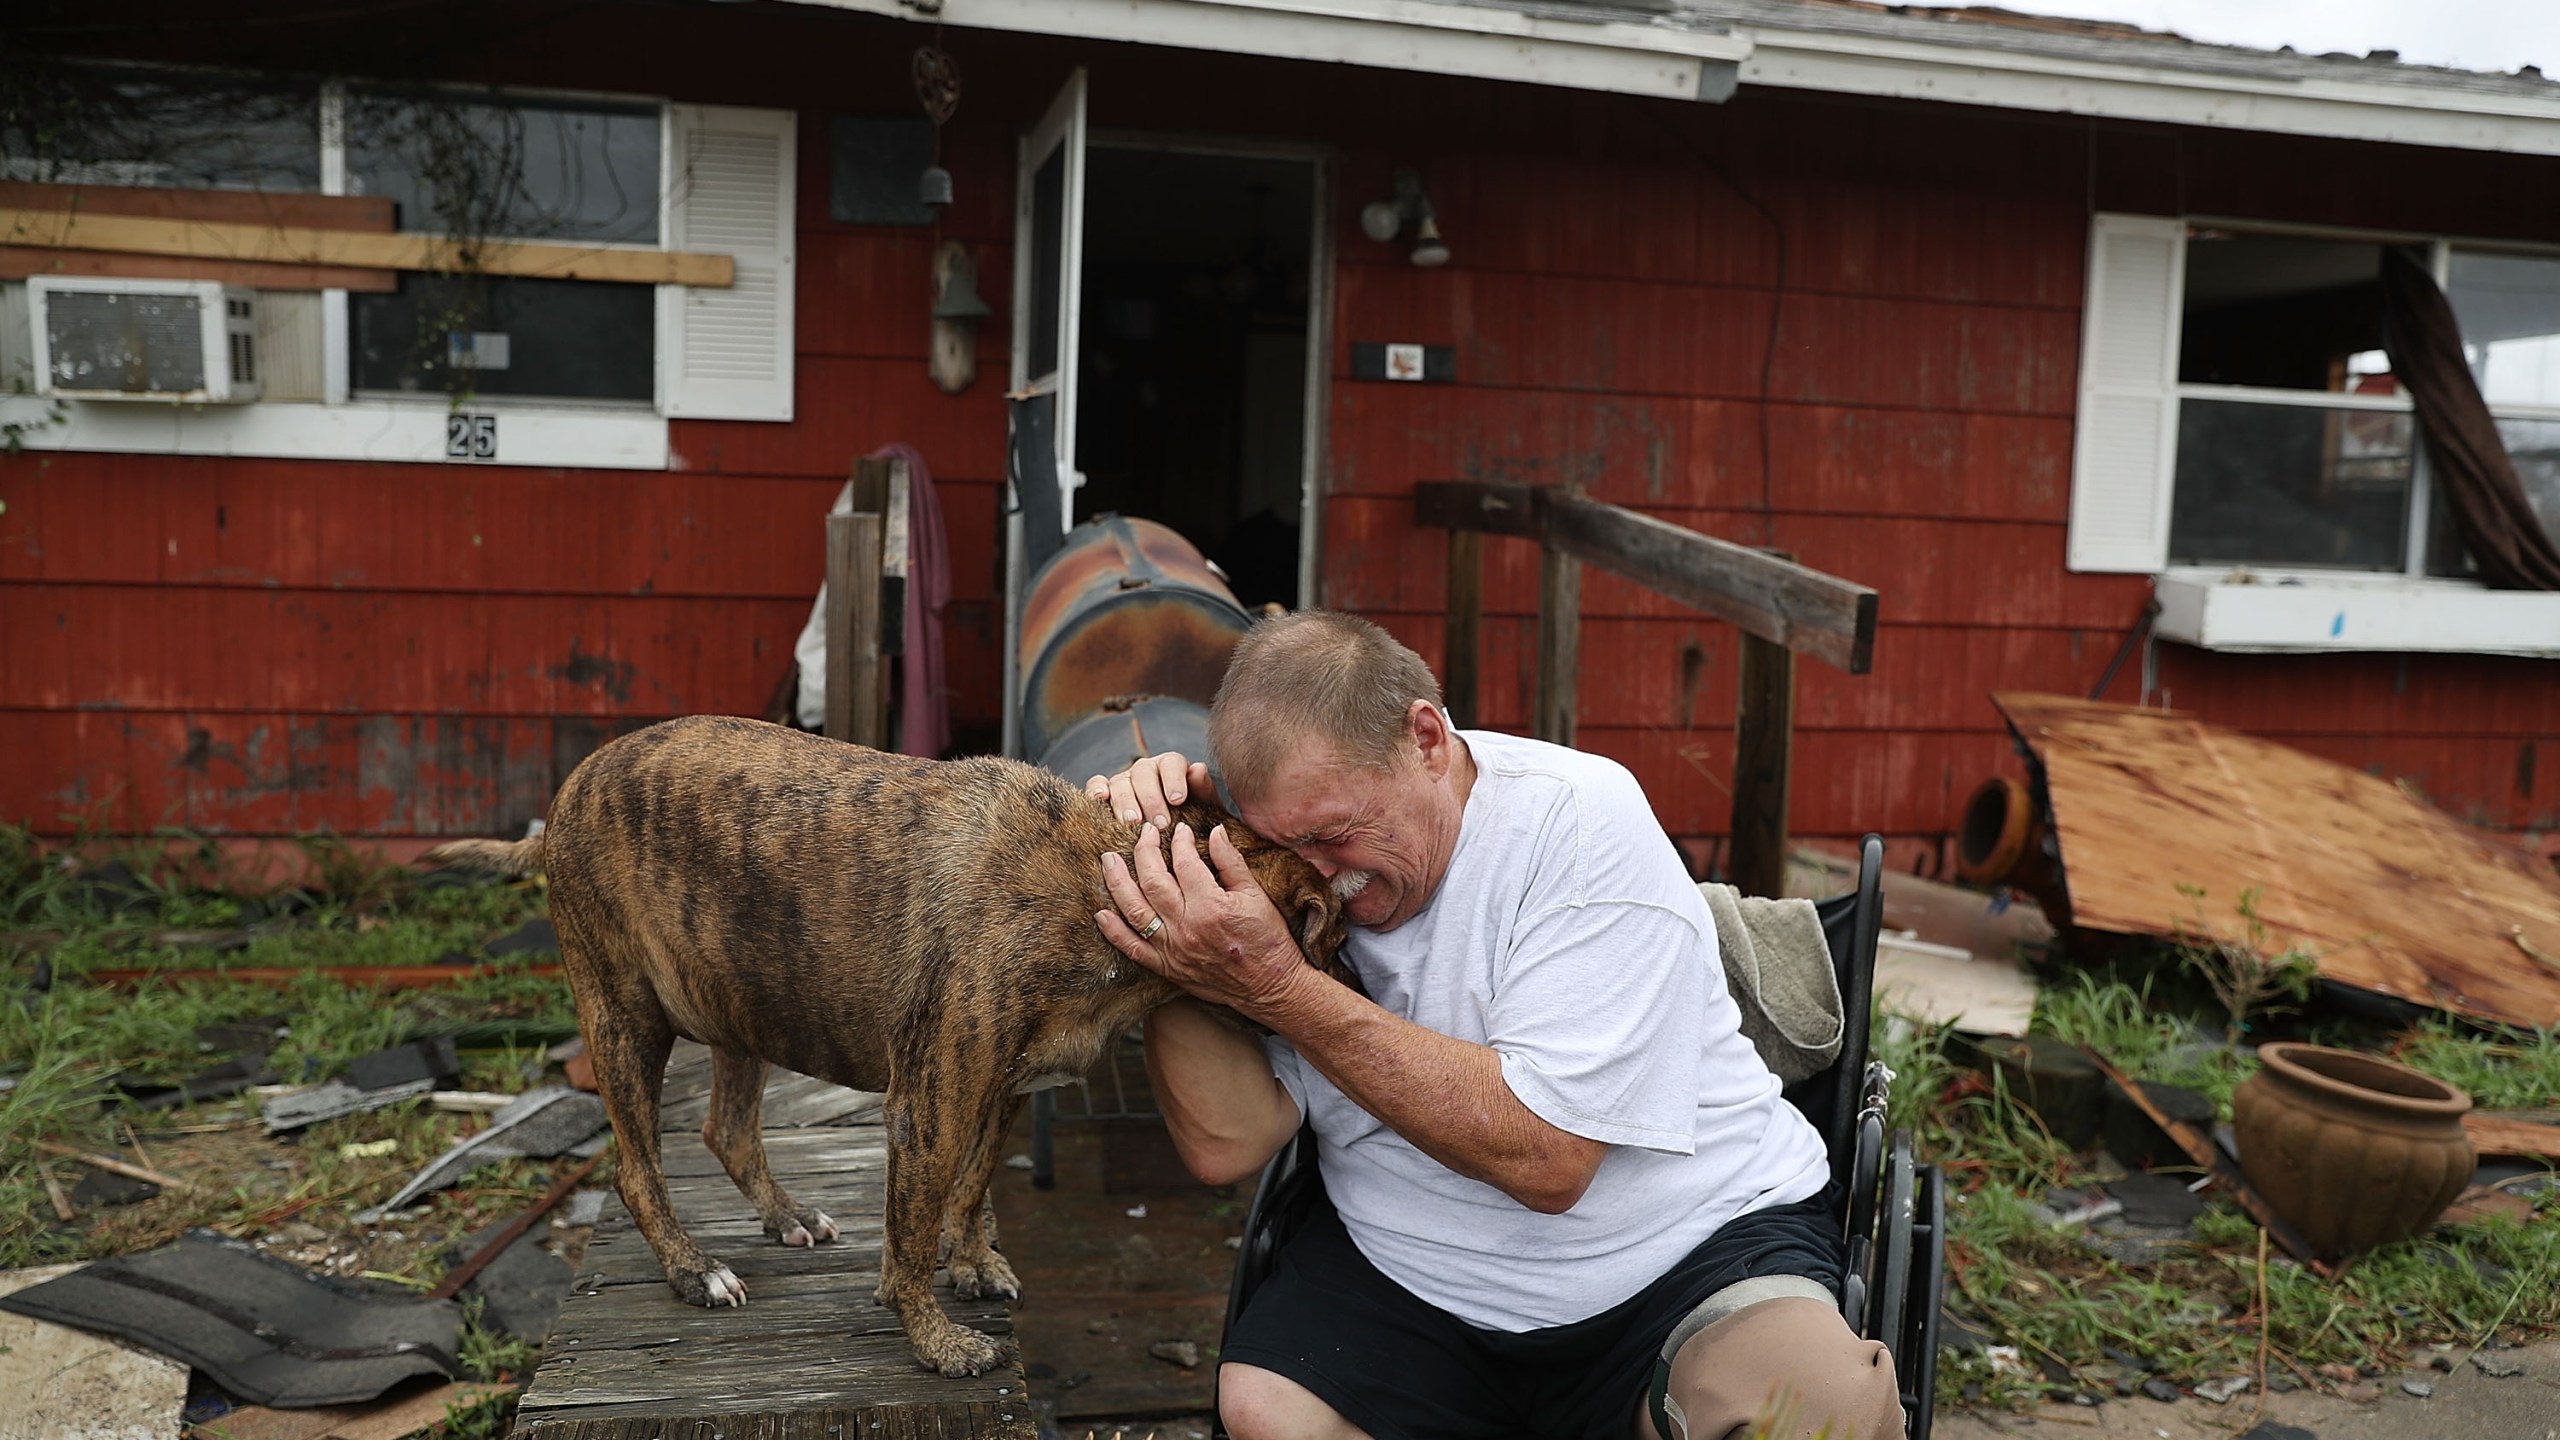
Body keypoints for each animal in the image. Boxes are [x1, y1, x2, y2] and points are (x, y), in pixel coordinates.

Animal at [424, 712, 1341, 1373]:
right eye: (1332, 933)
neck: (1107, 873)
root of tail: (559, 805)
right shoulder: (930, 1108)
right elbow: (911, 1235)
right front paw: (935, 1340)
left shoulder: (1001, 1090)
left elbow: (970, 1190)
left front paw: (972, 1264)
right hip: (623, 1017)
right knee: (636, 1168)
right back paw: (692, 1270)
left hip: (741, 998)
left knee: (728, 1130)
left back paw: (788, 1216)